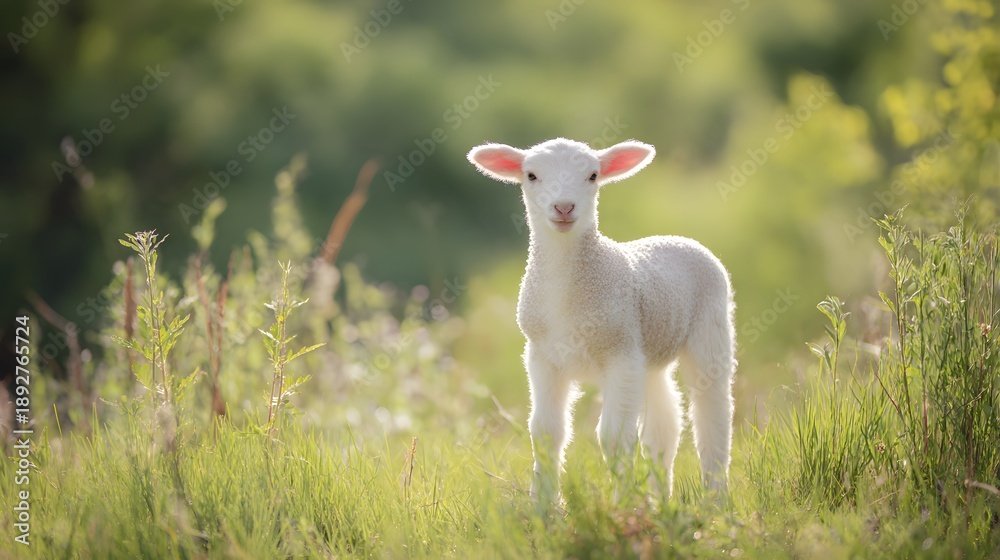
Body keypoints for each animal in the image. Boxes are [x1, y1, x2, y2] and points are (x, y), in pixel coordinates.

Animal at [467, 138, 736, 502]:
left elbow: (615, 438)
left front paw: (623, 505)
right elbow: (546, 432)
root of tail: (677, 238)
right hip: (650, 351)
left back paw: (716, 498)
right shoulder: (542, 356)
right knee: (664, 427)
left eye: (593, 175)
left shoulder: (620, 352)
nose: (564, 207)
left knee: (713, 416)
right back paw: (660, 500)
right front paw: (542, 505)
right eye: (531, 175)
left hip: (710, 328)